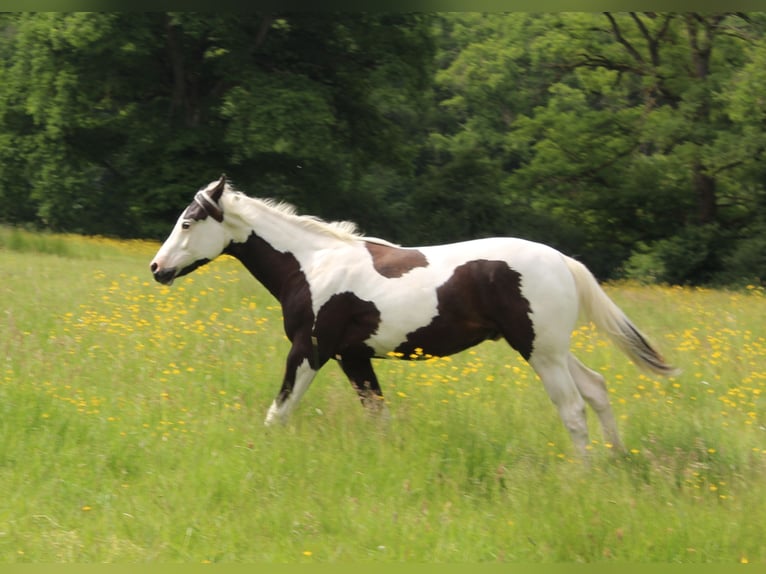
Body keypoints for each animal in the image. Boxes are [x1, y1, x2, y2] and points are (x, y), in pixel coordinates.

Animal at [150, 174, 678, 457]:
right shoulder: (353, 357)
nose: (157, 268)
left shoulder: (310, 351)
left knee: (572, 409)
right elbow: (378, 415)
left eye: (188, 222)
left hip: (541, 352)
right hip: (552, 348)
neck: (313, 265)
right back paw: (615, 462)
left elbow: (278, 412)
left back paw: (581, 476)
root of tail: (563, 261)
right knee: (597, 390)